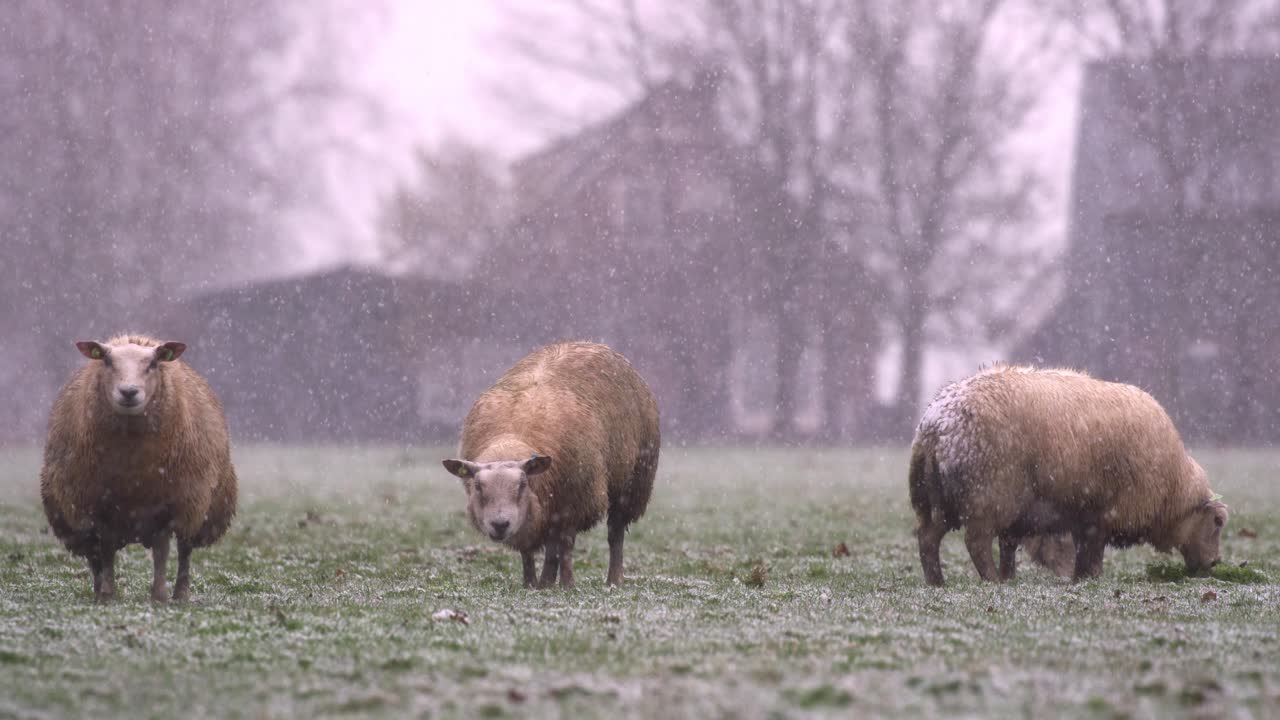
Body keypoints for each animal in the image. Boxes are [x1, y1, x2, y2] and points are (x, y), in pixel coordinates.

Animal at [40, 334, 238, 603]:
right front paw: (107, 595)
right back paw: (98, 590)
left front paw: (159, 596)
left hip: (196, 505)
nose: (128, 392)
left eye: (153, 364)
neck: (132, 470)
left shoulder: (166, 505)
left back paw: (181, 593)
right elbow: (106, 552)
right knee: (94, 555)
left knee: (185, 550)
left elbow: (162, 552)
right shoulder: (99, 507)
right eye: (107, 361)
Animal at [442, 341, 660, 588]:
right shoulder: (539, 508)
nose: (500, 524)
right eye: (478, 487)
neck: (511, 439)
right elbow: (529, 549)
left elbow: (565, 545)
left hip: (632, 484)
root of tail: (591, 342)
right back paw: (546, 581)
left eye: (522, 485)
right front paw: (530, 584)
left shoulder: (576, 501)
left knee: (615, 533)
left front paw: (567, 584)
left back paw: (613, 579)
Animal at [909, 364, 1227, 586]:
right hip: (988, 497)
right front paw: (1090, 581)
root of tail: (934, 427)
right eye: (1218, 522)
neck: (1173, 487)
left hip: (939, 500)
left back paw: (937, 582)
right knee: (975, 542)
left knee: (927, 538)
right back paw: (991, 581)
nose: (1214, 563)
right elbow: (1091, 554)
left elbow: (1013, 547)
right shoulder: (1103, 514)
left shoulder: (1069, 516)